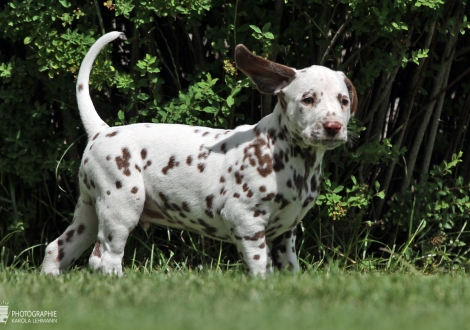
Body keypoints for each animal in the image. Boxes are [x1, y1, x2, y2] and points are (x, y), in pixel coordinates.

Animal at [42, 32, 358, 278]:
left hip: (88, 213)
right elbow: (260, 267)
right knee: (104, 258)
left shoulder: (285, 233)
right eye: (308, 99)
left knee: (56, 248)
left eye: (343, 101)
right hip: (121, 207)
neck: (290, 157)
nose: (333, 127)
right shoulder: (247, 222)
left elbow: (289, 270)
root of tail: (101, 131)